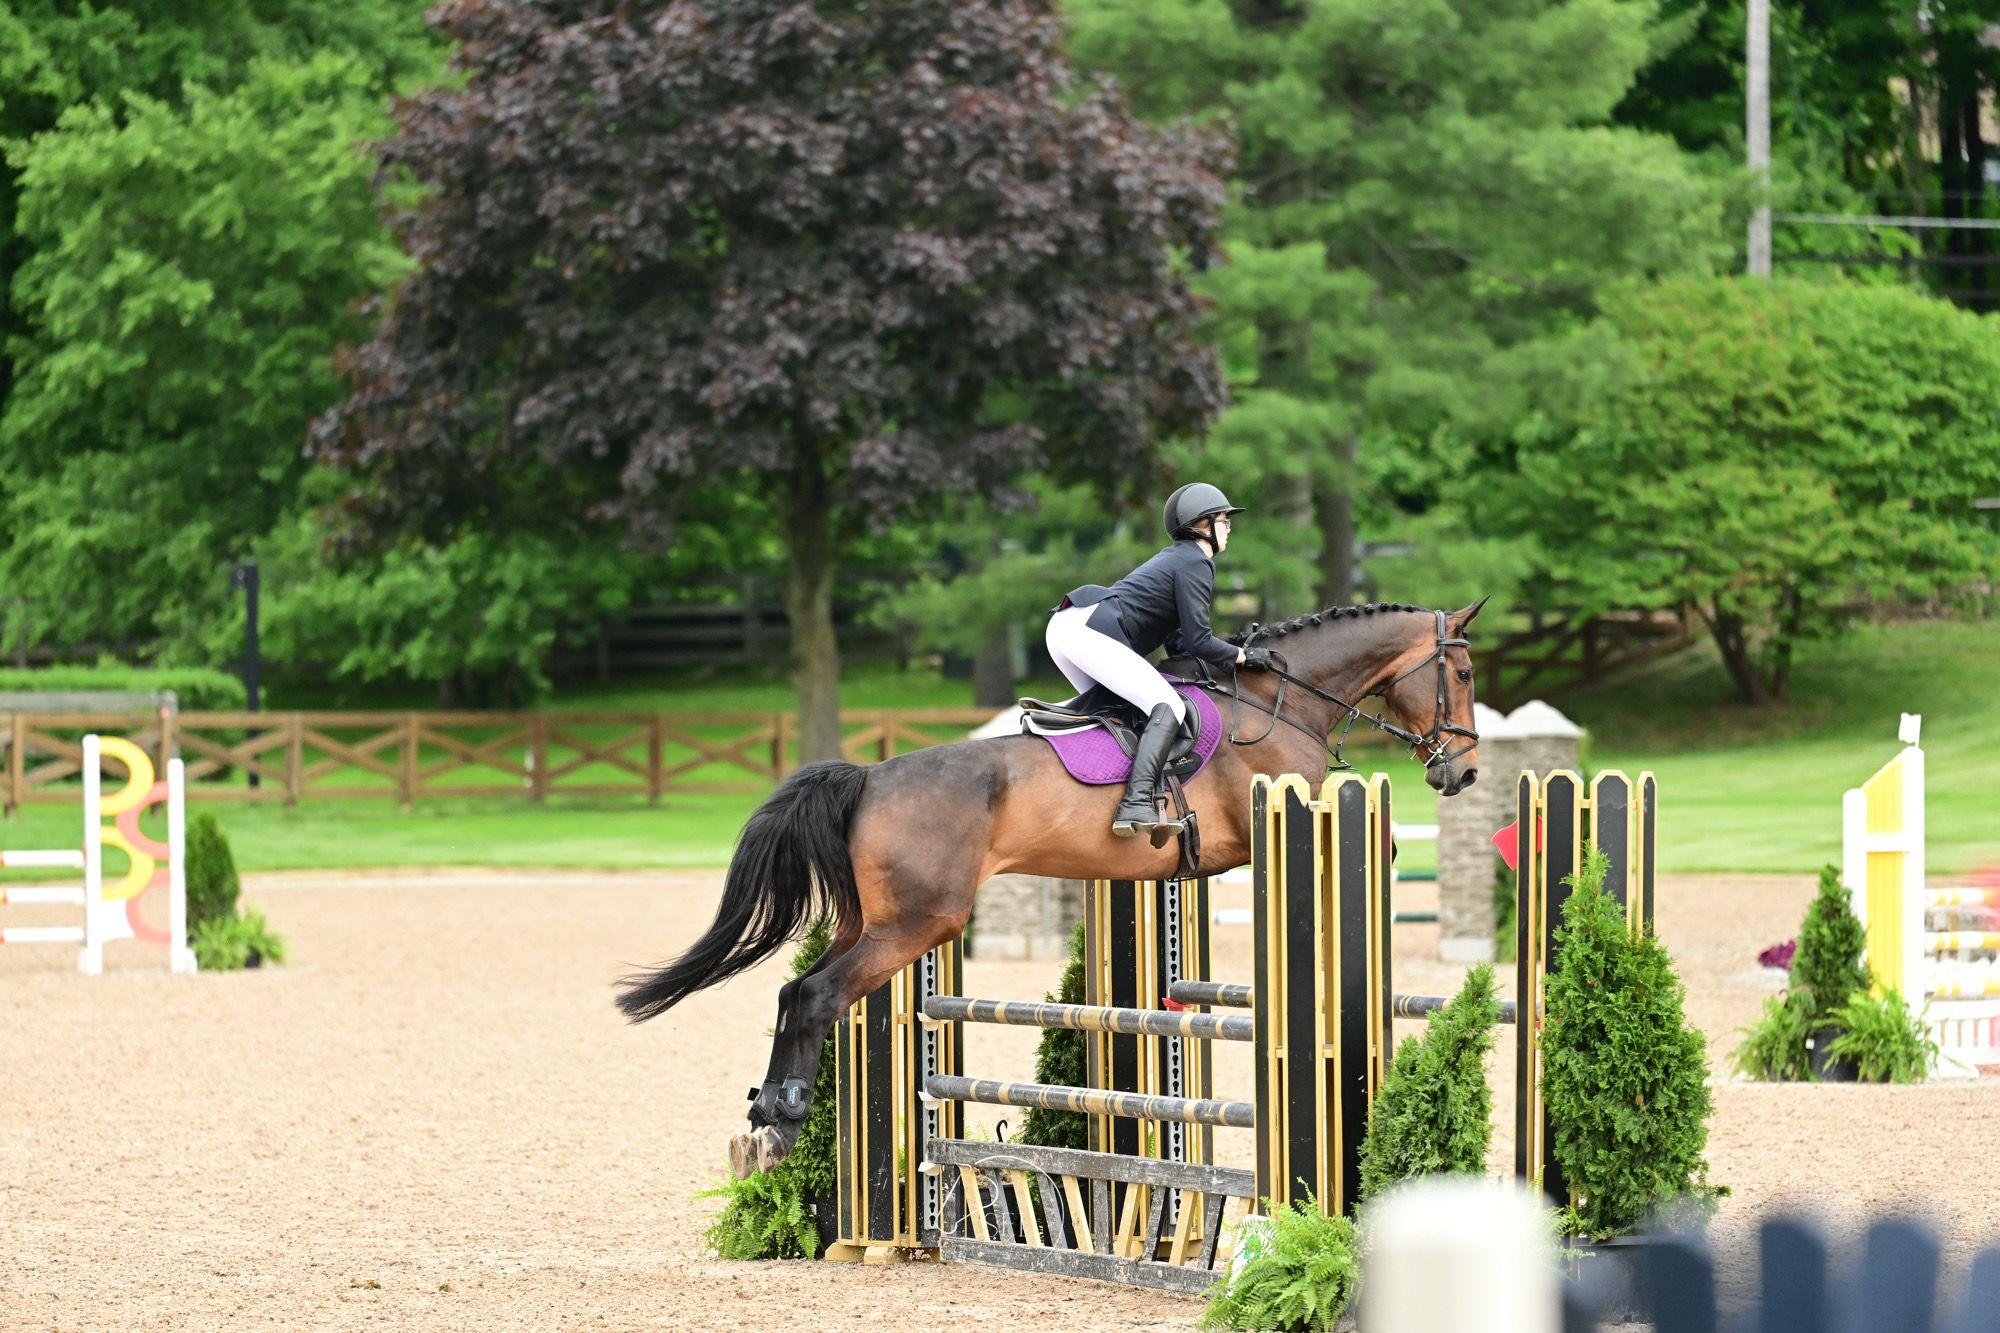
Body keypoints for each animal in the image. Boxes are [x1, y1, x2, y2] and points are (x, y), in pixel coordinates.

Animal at [617, 599, 1485, 1176]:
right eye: (1464, 669)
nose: (1463, 772)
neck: (1283, 703)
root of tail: (867, 776)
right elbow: (1383, 845)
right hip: (917, 924)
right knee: (818, 994)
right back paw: (784, 1122)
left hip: (874, 920)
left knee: (795, 990)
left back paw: (769, 1110)